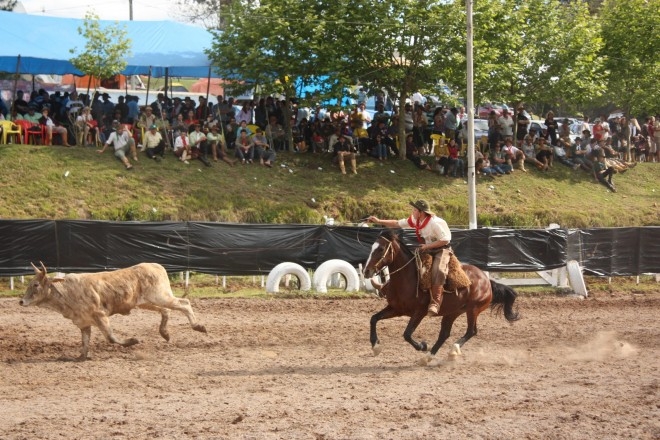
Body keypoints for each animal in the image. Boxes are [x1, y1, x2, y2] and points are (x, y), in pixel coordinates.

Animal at [20, 262, 206, 360]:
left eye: (36, 284)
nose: (21, 301)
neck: (67, 292)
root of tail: (156, 266)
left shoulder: (100, 315)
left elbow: (110, 337)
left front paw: (132, 341)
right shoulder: (83, 322)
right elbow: (85, 341)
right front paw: (81, 357)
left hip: (161, 296)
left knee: (184, 303)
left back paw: (198, 326)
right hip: (146, 302)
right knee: (166, 311)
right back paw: (165, 333)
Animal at [364, 229, 520, 362]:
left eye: (381, 249)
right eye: (371, 248)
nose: (366, 271)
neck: (408, 278)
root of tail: (486, 280)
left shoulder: (419, 312)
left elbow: (407, 334)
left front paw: (422, 346)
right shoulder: (396, 309)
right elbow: (373, 319)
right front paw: (376, 346)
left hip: (473, 310)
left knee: (471, 331)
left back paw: (452, 350)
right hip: (453, 312)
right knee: (445, 334)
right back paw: (428, 357)